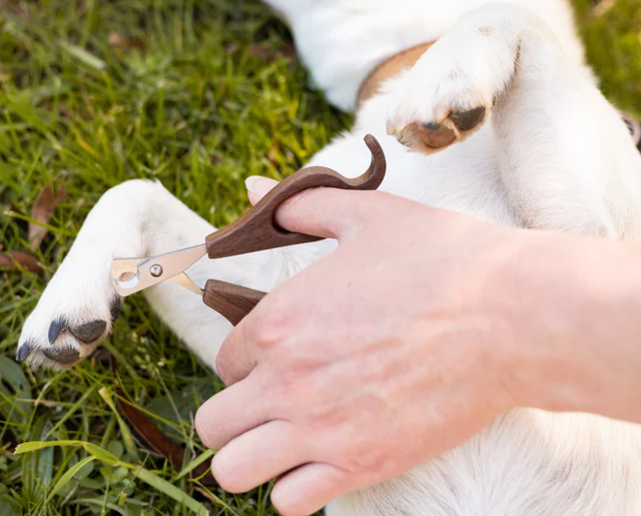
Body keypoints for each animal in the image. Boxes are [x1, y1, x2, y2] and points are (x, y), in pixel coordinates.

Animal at [13, 0, 640, 512]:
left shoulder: (582, 237)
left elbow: (508, 14)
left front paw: (444, 82)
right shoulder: (267, 303)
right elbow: (131, 190)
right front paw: (67, 302)